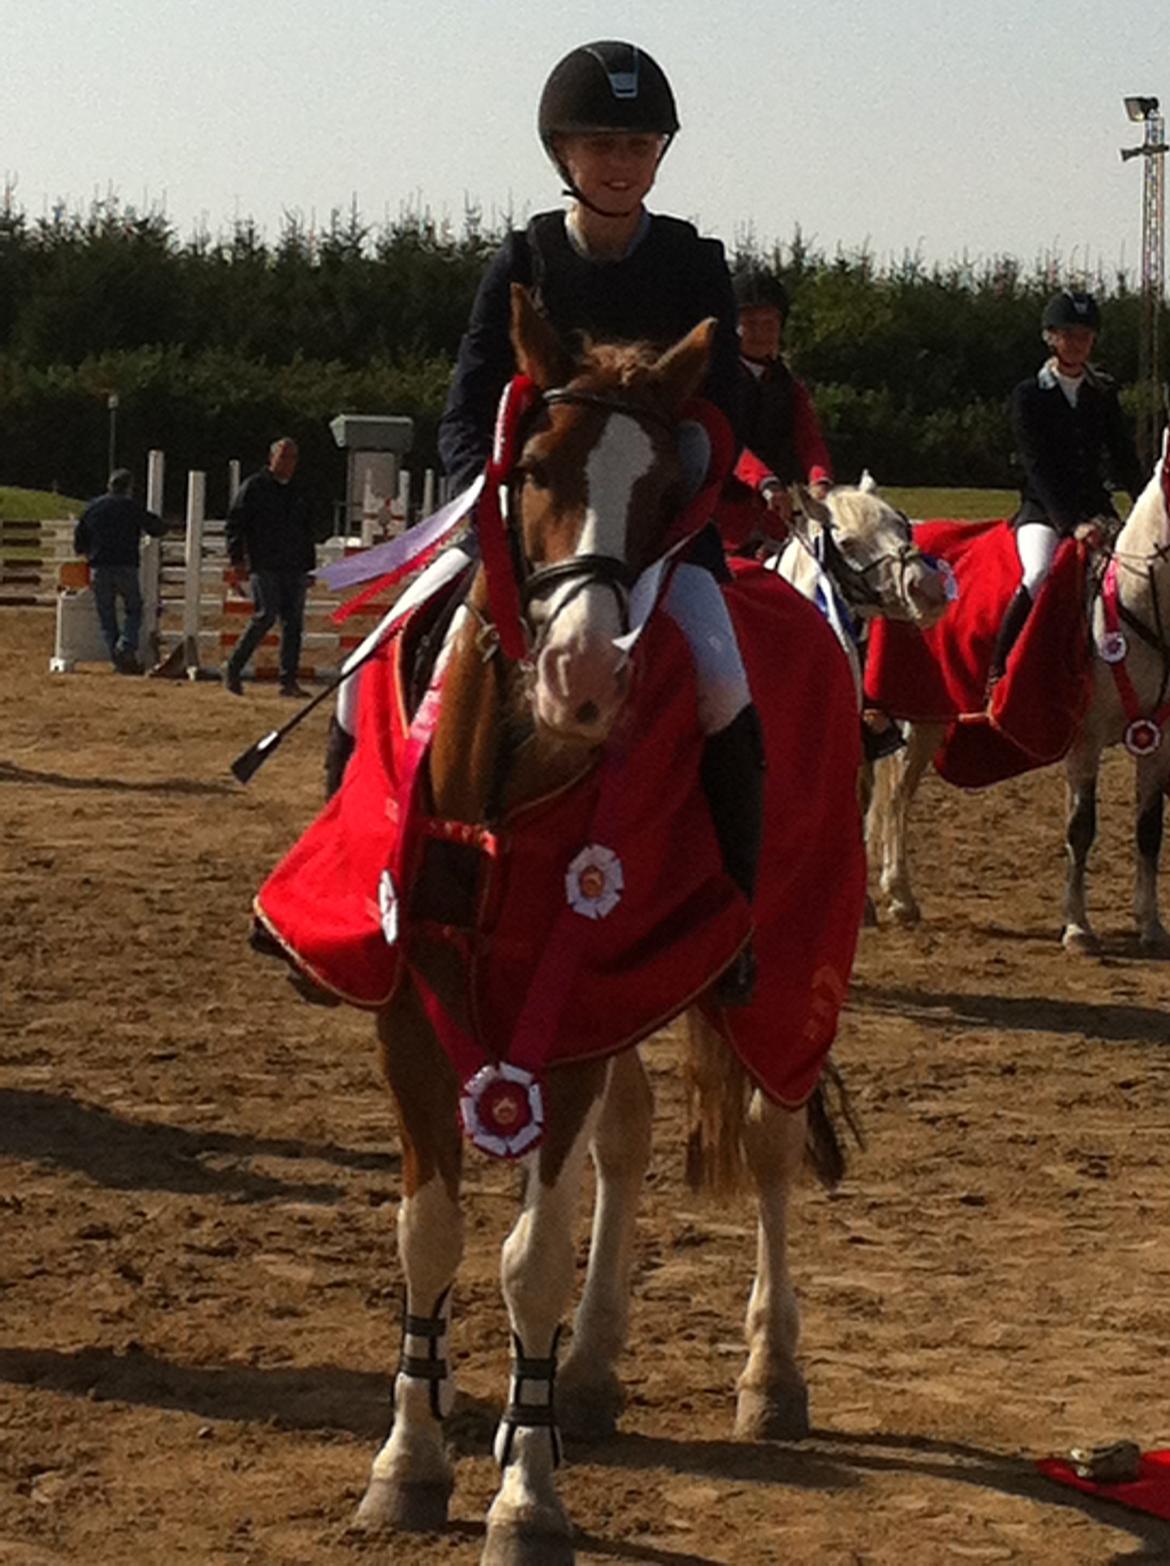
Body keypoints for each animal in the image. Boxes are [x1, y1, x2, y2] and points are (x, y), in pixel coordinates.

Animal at [347, 291, 858, 1553]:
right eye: (531, 468)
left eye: (670, 492)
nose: (585, 675)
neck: (504, 791)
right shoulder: (413, 1017)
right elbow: (430, 1234)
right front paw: (412, 1457)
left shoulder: (564, 1017)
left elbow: (531, 1253)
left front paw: (527, 1499)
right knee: (624, 1147)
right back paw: (585, 1371)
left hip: (785, 980)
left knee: (769, 1146)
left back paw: (770, 1375)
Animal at [877, 454, 1170, 952]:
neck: (1136, 599)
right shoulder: (1085, 738)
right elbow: (1081, 828)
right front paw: (1078, 928)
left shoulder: (1156, 739)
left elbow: (1148, 830)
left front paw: (1150, 925)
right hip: (913, 716)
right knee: (897, 795)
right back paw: (898, 897)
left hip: (931, 717)